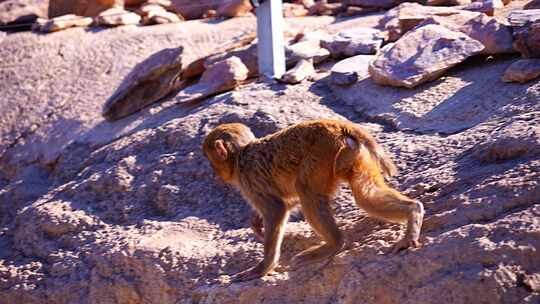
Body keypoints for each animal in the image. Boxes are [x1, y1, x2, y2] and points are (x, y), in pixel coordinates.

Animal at [200, 119, 424, 282]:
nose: (214, 173)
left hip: (322, 153)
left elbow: (276, 208)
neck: (241, 154)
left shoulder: (248, 178)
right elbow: (288, 201)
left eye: (211, 159)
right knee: (365, 196)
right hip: (352, 155)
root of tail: (338, 125)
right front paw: (255, 221)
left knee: (307, 191)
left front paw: (263, 268)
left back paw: (334, 244)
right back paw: (413, 212)